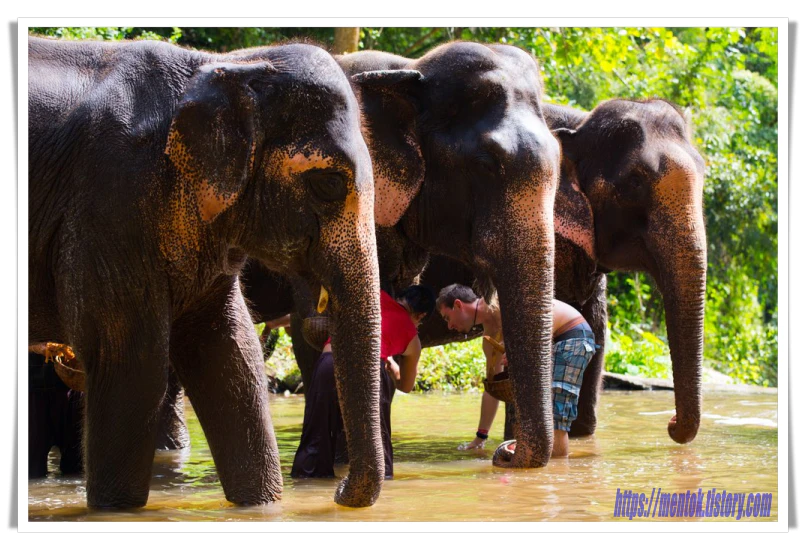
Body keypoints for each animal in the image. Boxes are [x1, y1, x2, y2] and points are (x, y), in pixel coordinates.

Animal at [28, 36, 386, 512]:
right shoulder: (109, 206)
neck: (223, 65)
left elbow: (230, 355)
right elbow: (131, 364)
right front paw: (116, 511)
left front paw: (262, 507)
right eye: (328, 183)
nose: (340, 491)